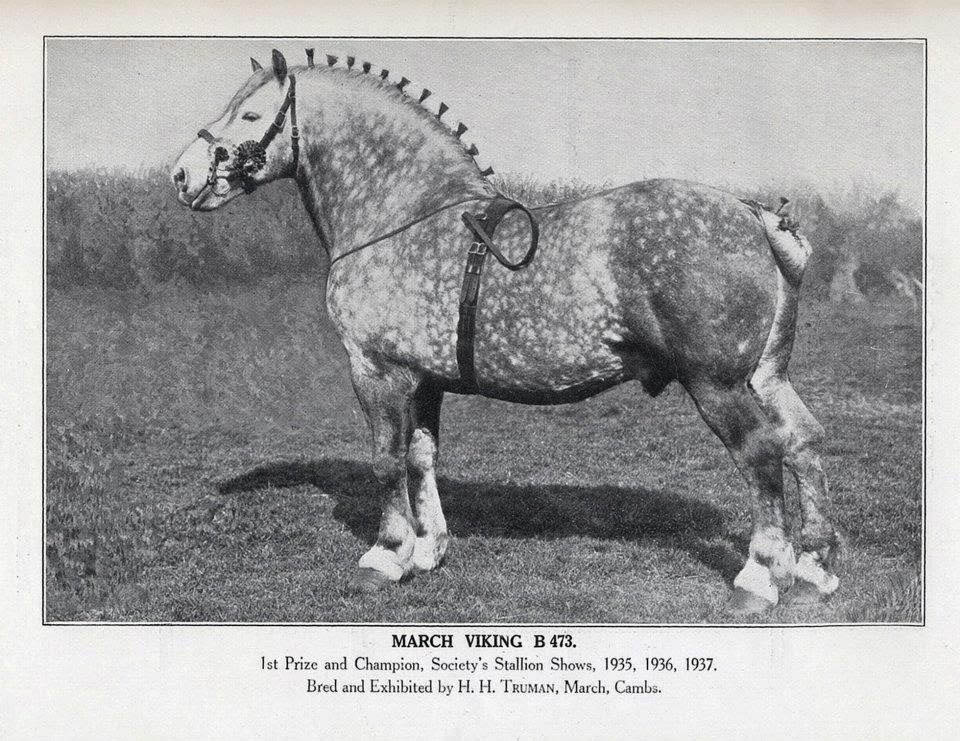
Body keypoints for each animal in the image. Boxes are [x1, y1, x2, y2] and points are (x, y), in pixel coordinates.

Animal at [171, 47, 840, 612]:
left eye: (250, 113)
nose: (182, 175)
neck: (404, 214)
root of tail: (754, 215)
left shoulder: (376, 371)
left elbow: (386, 460)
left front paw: (386, 556)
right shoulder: (424, 379)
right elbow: (421, 457)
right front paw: (428, 549)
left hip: (717, 384)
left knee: (761, 452)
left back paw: (759, 578)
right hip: (766, 376)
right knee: (804, 440)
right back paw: (814, 566)